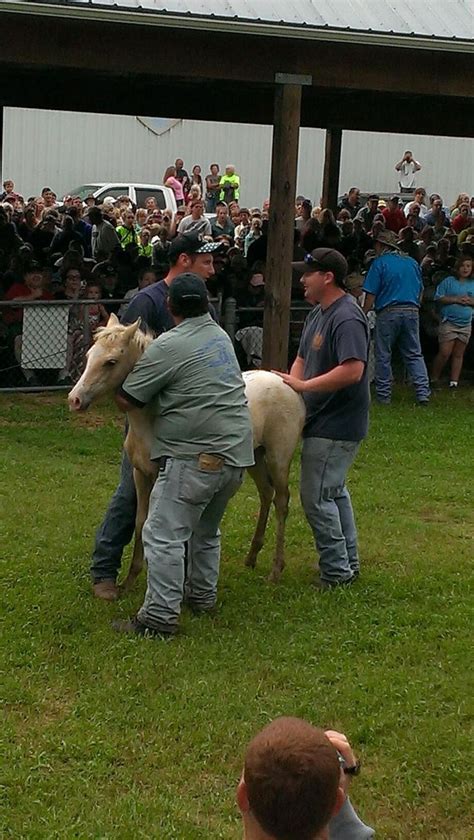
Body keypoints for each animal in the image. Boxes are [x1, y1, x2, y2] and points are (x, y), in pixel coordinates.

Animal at [68, 316, 306, 592]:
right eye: (89, 355)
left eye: (111, 362)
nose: (74, 399)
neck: (151, 420)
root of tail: (286, 384)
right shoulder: (140, 475)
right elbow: (141, 521)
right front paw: (129, 580)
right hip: (255, 458)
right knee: (266, 494)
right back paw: (251, 557)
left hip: (279, 459)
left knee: (282, 502)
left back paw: (276, 570)